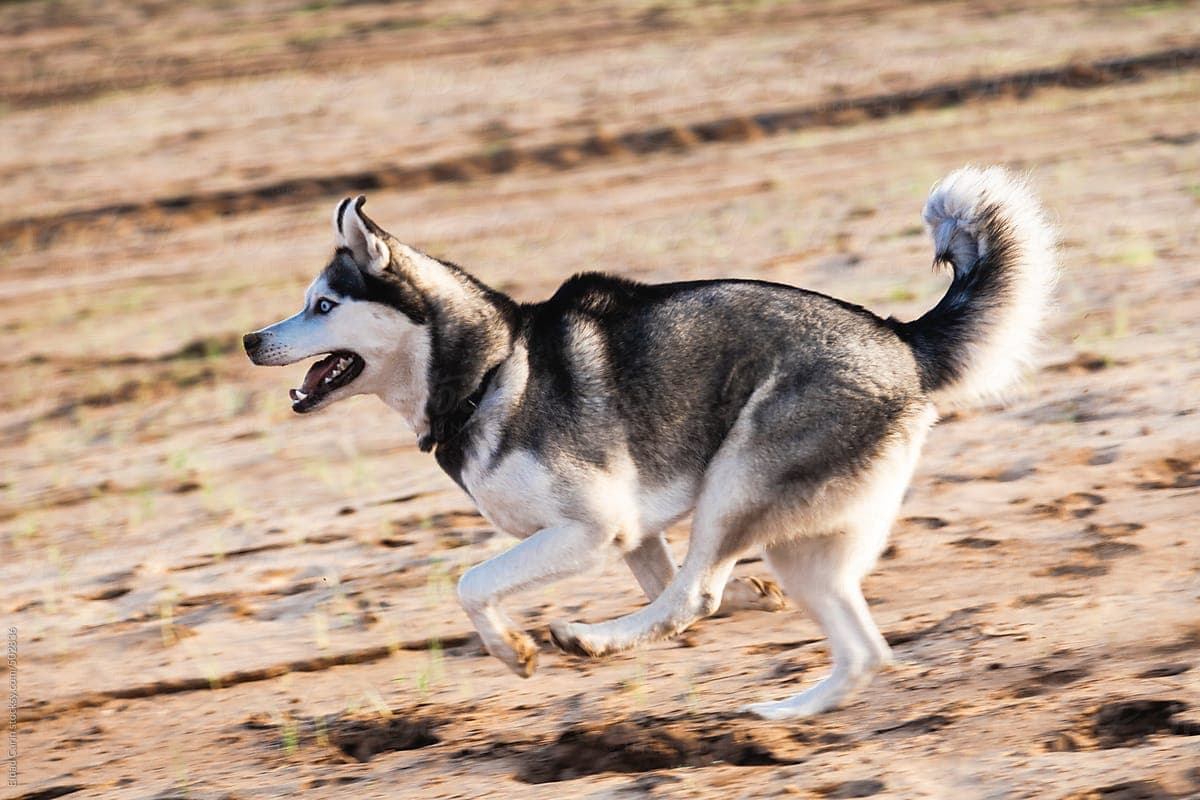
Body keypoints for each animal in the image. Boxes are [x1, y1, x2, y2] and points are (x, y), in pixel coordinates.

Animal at [246, 169, 1060, 719]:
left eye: (324, 305)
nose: (252, 340)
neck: (489, 371)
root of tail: (900, 339)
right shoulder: (634, 534)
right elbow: (674, 586)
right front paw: (749, 601)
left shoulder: (593, 528)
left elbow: (473, 584)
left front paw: (514, 650)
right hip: (799, 544)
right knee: (857, 648)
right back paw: (785, 711)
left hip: (737, 479)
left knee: (695, 594)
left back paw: (589, 638)